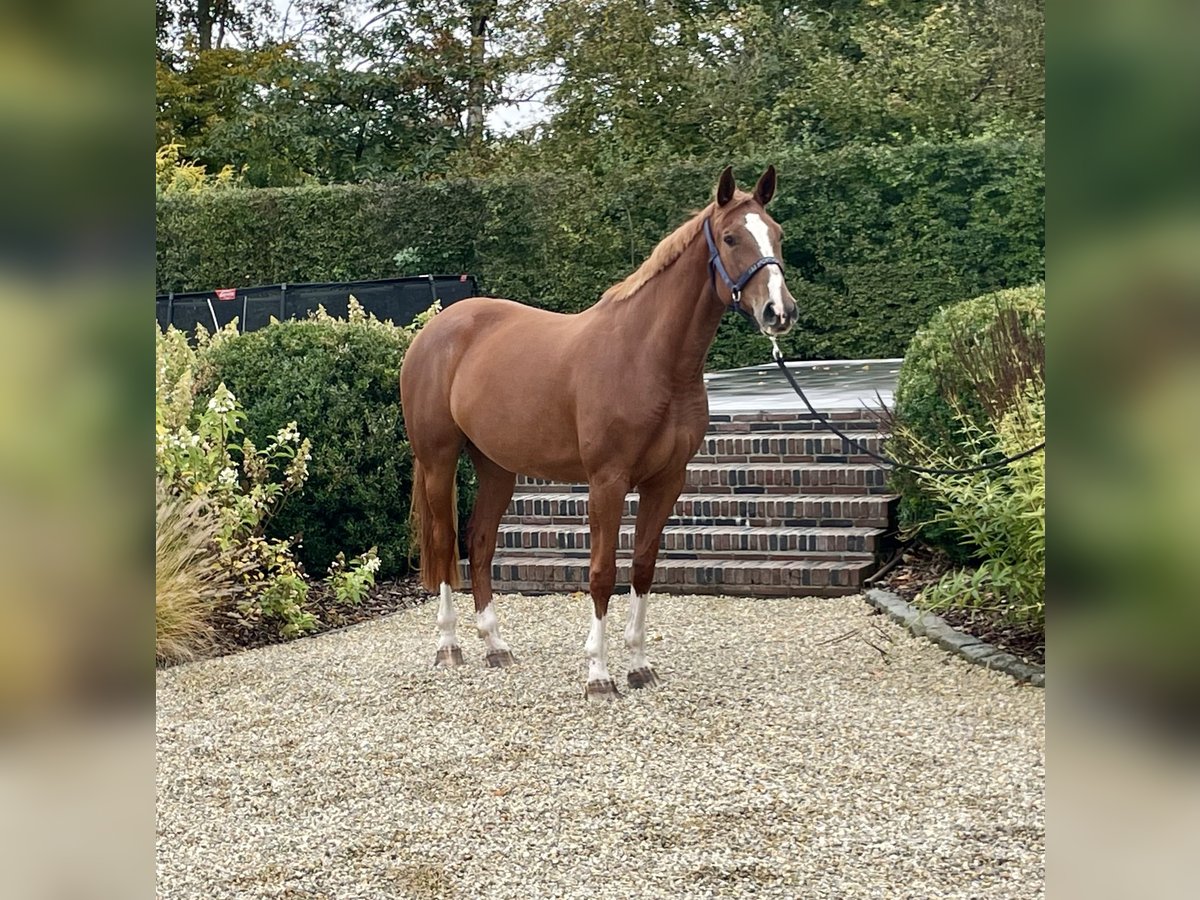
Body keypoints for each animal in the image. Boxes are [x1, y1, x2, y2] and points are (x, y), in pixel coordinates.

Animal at [400, 170, 796, 705]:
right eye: (732, 237)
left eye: (777, 234)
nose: (780, 311)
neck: (649, 358)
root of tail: (433, 329)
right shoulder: (607, 481)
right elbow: (602, 573)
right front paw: (598, 676)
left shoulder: (667, 481)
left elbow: (644, 568)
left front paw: (639, 667)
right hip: (439, 461)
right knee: (445, 543)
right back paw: (448, 647)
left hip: (496, 467)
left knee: (479, 542)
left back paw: (496, 647)